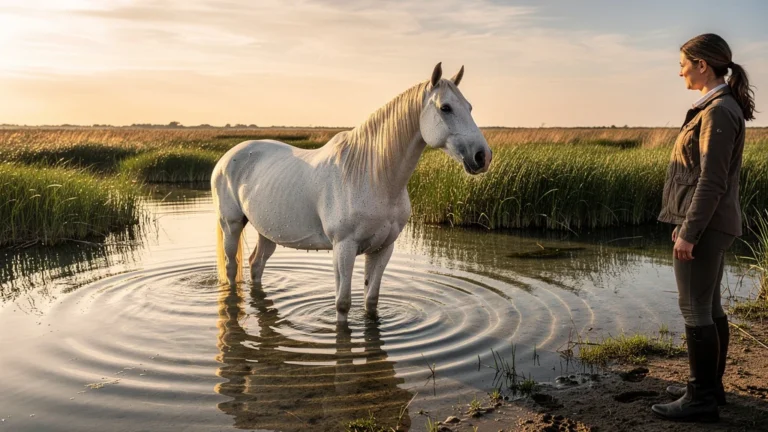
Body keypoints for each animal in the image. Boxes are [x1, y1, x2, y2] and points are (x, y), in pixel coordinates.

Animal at [212, 62, 492, 323]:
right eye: (446, 107)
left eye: (469, 107)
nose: (483, 156)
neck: (373, 177)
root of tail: (226, 158)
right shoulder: (343, 247)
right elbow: (343, 303)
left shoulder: (383, 248)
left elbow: (371, 301)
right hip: (232, 224)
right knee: (231, 267)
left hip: (267, 231)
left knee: (256, 265)